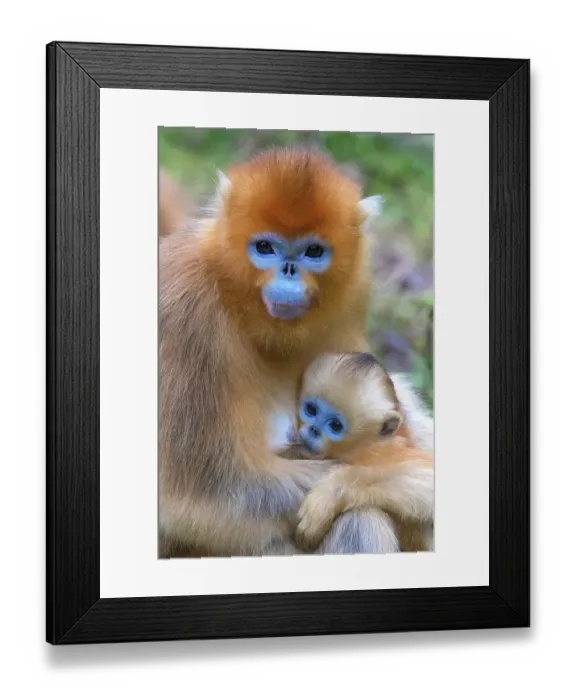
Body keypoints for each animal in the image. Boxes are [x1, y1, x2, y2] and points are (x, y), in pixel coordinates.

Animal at [290, 352, 434, 554]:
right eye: (311, 409)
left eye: (336, 425)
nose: (313, 430)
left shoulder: (383, 450)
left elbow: (428, 476)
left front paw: (329, 495)